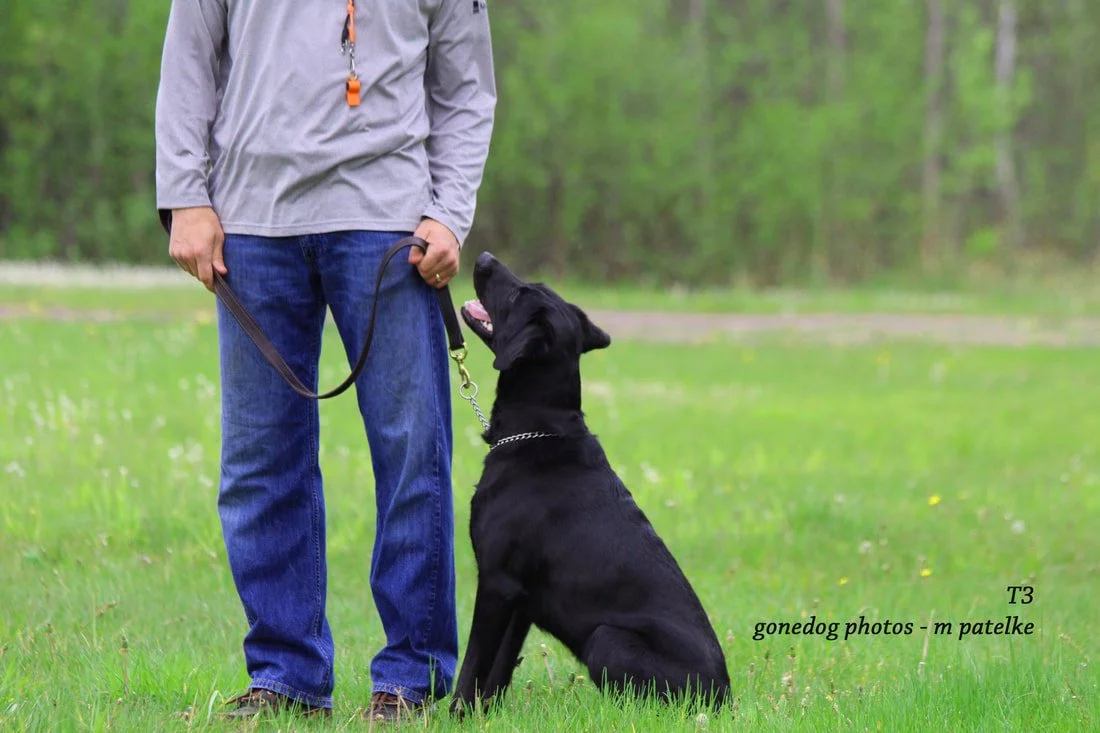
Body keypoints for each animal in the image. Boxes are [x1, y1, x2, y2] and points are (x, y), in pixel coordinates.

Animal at [452, 252, 731, 714]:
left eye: (518, 294)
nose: (485, 258)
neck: (540, 429)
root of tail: (723, 698)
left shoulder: (496, 583)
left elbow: (474, 663)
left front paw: (456, 715)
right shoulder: (521, 600)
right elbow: (498, 671)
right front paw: (486, 716)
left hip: (607, 638)